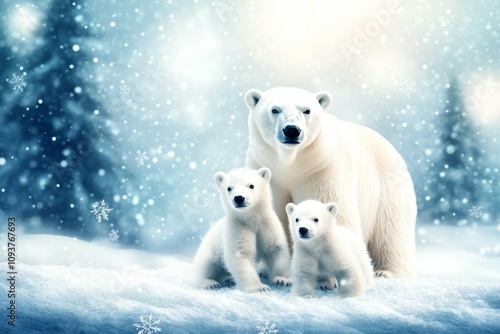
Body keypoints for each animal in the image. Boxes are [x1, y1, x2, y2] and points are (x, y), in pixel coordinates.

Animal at [244, 87, 416, 278]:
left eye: (307, 110)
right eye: (275, 109)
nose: (292, 130)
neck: (290, 164)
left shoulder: (322, 169)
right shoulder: (268, 172)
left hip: (388, 189)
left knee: (391, 230)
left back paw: (387, 271)